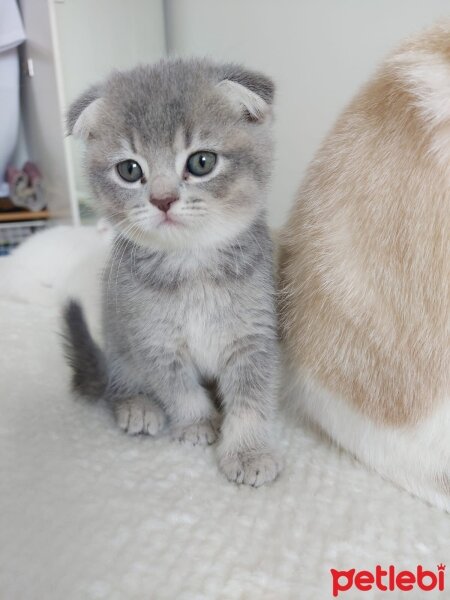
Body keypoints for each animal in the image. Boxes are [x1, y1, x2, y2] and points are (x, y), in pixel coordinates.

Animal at [63, 57, 282, 488]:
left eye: (201, 162)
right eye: (130, 170)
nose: (162, 200)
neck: (192, 267)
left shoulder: (253, 336)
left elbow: (251, 398)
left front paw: (248, 451)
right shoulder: (152, 339)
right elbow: (178, 388)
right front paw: (197, 423)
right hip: (118, 339)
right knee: (117, 383)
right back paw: (136, 404)